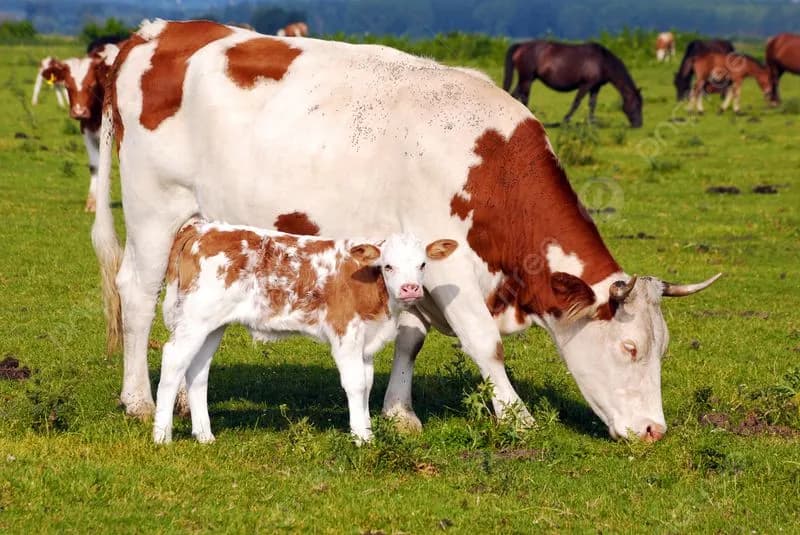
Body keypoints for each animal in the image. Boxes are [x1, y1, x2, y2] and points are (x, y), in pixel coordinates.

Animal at [39, 44, 120, 212]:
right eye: (67, 86)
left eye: (92, 85)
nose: (79, 111)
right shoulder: (87, 131)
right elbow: (96, 165)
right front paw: (93, 202)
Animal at [153, 219, 457, 444]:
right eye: (388, 266)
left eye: (422, 265)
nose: (410, 289)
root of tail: (203, 227)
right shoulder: (345, 334)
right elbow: (356, 384)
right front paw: (361, 438)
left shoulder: (366, 342)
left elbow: (367, 384)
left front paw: (368, 431)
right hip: (194, 319)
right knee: (173, 359)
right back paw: (162, 436)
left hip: (212, 325)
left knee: (198, 370)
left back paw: (204, 435)